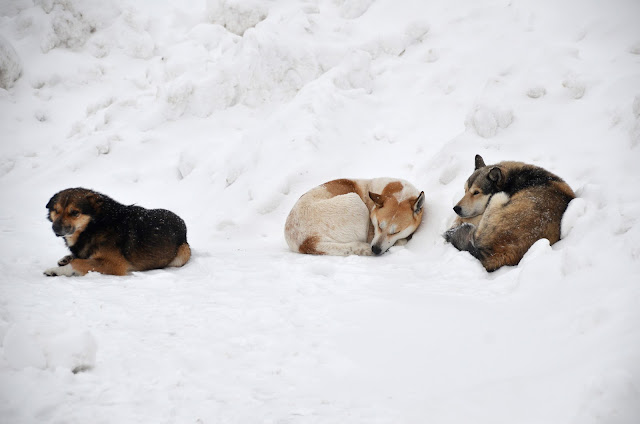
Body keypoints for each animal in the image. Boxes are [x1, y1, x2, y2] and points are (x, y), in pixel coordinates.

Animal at [44, 188, 190, 274]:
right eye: (56, 210)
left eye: (75, 213)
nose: (55, 228)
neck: (96, 226)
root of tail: (182, 222)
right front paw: (64, 261)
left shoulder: (113, 264)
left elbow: (77, 262)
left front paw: (55, 270)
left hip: (183, 252)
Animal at [444, 156, 576, 272]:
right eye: (465, 190)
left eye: (476, 192)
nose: (456, 208)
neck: (511, 179)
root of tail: (491, 252)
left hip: (499, 197)